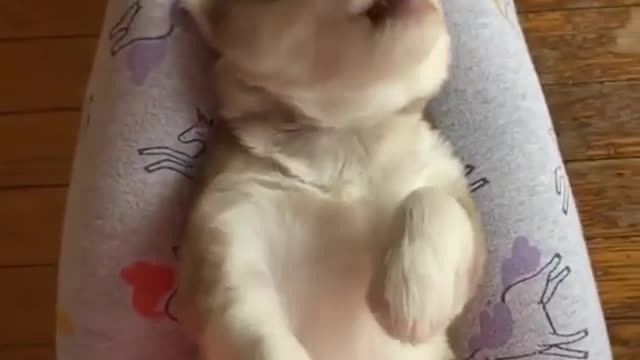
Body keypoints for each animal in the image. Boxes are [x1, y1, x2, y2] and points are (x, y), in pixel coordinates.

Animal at [175, 0, 484, 360]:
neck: (347, 142)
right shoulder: (229, 223)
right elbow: (248, 321)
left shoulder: (447, 186)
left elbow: (431, 199)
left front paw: (412, 296)